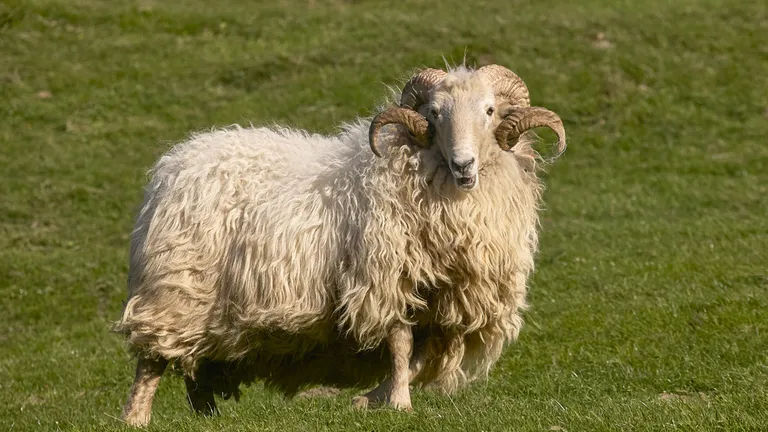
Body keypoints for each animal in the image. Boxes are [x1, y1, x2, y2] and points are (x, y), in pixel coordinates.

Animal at [115, 63, 568, 426]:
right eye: (434, 114)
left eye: (489, 110)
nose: (463, 164)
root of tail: (173, 165)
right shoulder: (386, 277)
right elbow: (401, 345)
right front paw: (398, 403)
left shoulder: (447, 301)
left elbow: (419, 357)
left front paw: (372, 399)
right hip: (178, 287)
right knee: (152, 359)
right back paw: (137, 417)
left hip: (209, 305)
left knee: (198, 365)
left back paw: (208, 416)